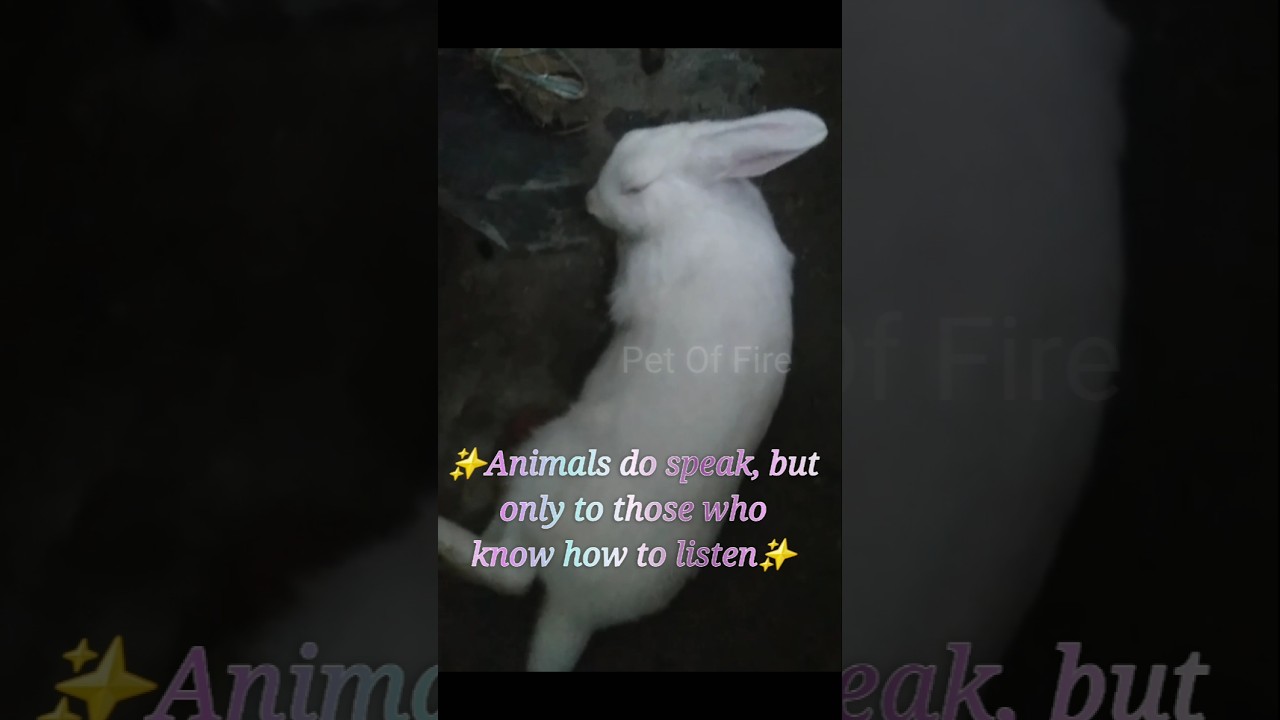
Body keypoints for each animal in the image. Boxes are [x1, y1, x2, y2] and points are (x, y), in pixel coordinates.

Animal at [438, 109, 829, 672]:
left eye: (635, 186)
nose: (590, 201)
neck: (694, 206)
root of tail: (577, 612)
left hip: (543, 462)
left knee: (510, 574)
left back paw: (445, 537)